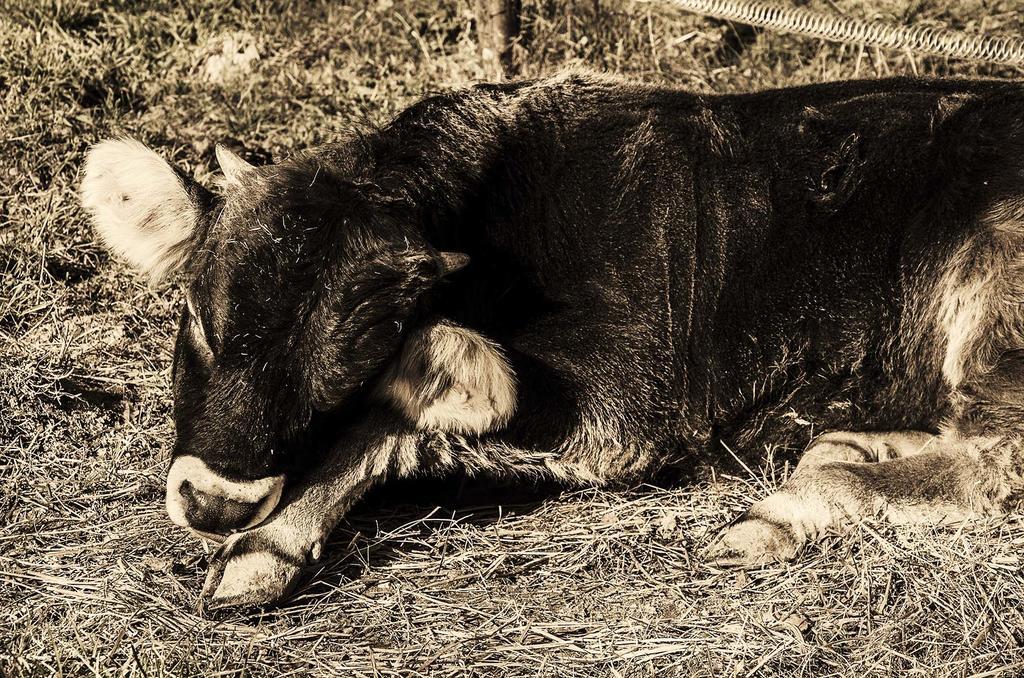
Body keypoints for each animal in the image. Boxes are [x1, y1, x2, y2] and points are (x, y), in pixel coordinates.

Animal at [81, 71, 1024, 606]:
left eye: (348, 363)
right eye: (200, 317)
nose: (216, 503)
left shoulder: (628, 401)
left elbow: (392, 417)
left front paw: (265, 540)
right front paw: (260, 547)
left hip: (991, 284)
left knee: (994, 464)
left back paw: (780, 510)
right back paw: (849, 443)